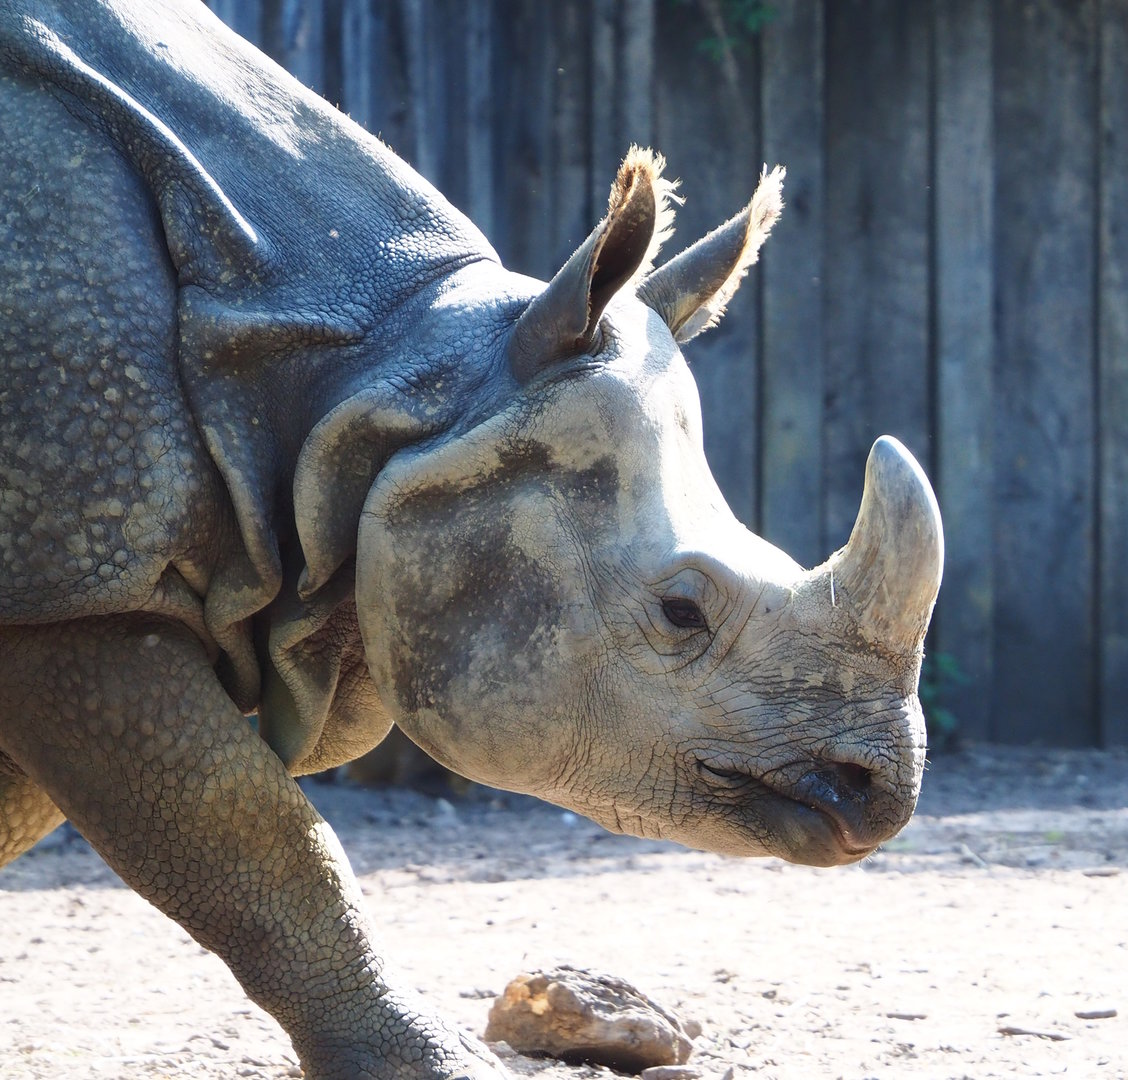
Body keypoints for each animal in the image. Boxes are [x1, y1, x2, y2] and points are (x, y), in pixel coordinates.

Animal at [0, 1, 943, 1077]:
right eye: (680, 612)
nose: (880, 793)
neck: (392, 386)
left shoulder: (69, 568)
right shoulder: (75, 585)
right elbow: (258, 837)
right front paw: (436, 1061)